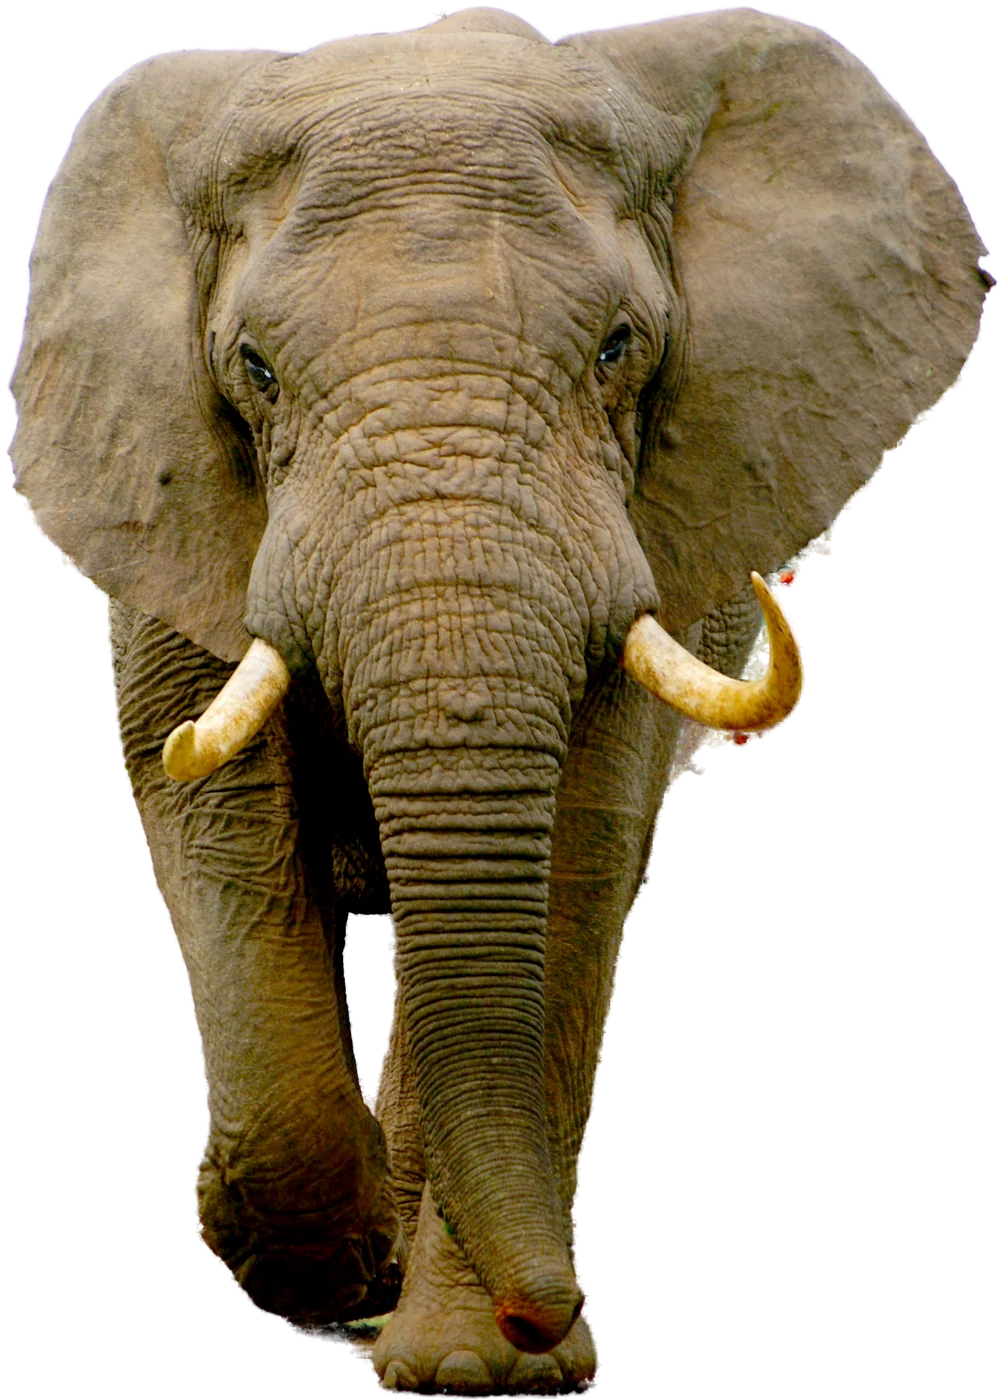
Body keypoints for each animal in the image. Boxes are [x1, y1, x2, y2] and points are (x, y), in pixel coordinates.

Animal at [12, 10, 989, 1391]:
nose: (551, 1304)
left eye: (619, 348)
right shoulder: (166, 487)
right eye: (254, 368)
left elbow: (575, 841)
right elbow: (207, 805)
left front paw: (480, 1367)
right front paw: (313, 1265)